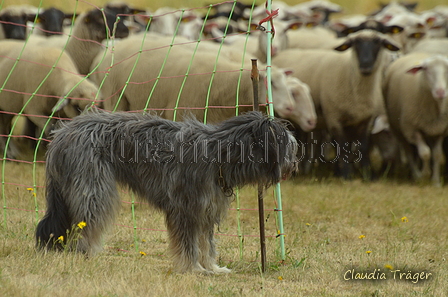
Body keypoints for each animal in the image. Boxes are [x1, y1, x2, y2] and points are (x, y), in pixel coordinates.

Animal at [36, 109, 300, 272]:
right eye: (289, 146)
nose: (294, 165)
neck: (218, 154)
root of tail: (61, 134)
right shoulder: (185, 209)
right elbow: (189, 245)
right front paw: (194, 269)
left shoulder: (206, 210)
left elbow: (207, 244)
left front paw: (213, 268)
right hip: (94, 189)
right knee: (87, 224)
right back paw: (86, 254)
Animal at [272, 29, 402, 178]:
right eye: (355, 43)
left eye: (378, 43)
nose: (365, 64)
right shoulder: (334, 118)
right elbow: (342, 146)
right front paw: (346, 175)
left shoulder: (365, 120)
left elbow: (363, 146)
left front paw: (367, 174)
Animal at [382, 52, 448, 184]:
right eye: (426, 69)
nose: (440, 92)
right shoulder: (412, 129)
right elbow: (425, 153)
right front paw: (425, 175)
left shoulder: (441, 130)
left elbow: (437, 155)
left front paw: (436, 181)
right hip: (399, 131)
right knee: (409, 152)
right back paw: (416, 175)